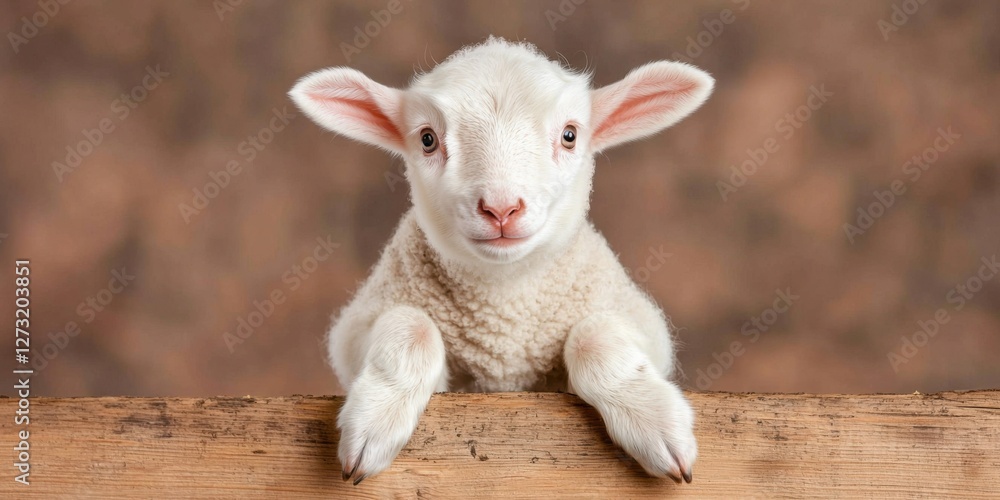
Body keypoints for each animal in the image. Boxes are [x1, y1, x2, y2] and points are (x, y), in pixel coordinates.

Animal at [289, 36, 714, 485]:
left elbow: (595, 337)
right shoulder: (354, 331)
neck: (504, 304)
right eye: (427, 139)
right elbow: (413, 328)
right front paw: (374, 424)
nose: (500, 208)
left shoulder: (641, 321)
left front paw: (655, 422)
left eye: (569, 135)